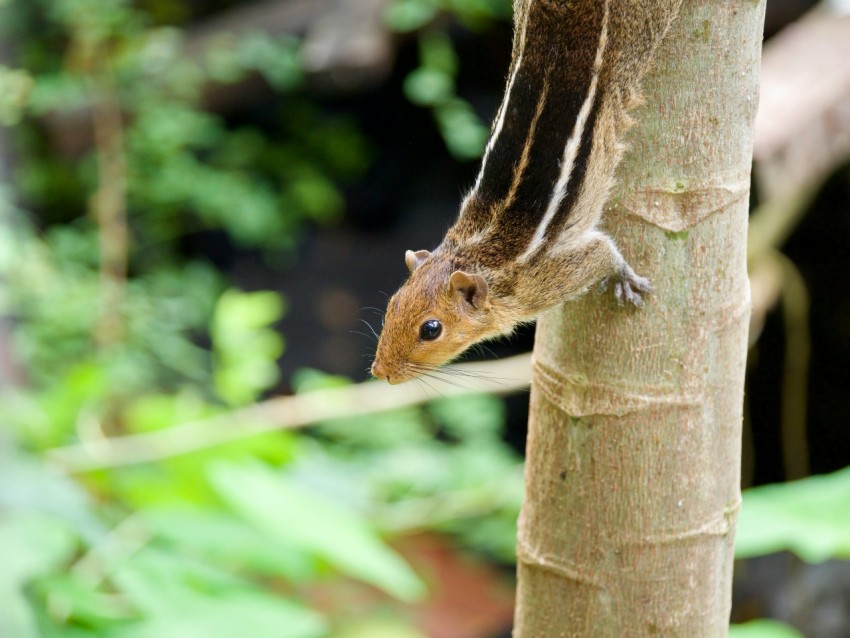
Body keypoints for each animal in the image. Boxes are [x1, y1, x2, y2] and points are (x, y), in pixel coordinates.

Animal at [372, 0, 684, 384]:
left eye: (431, 329)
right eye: (392, 305)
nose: (380, 371)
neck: (473, 253)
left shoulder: (549, 280)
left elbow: (603, 252)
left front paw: (624, 277)